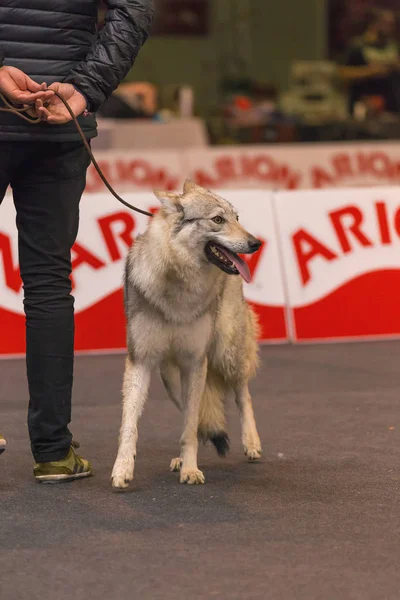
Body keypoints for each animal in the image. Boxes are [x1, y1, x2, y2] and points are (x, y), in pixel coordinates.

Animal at [111, 178, 262, 488]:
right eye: (217, 220)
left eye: (236, 218)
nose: (255, 243)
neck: (179, 289)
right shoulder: (140, 361)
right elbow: (130, 425)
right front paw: (122, 469)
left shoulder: (195, 362)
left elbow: (190, 428)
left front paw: (191, 470)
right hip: (170, 376)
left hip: (227, 353)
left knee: (243, 394)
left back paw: (251, 443)